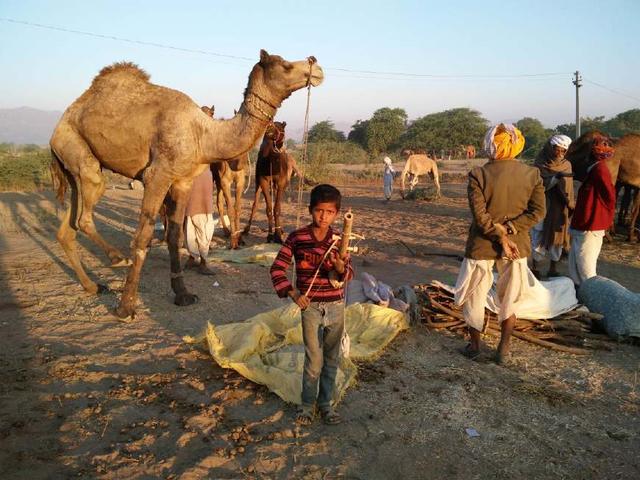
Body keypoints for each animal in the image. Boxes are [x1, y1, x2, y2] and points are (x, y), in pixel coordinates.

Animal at [48, 51, 324, 318]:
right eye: (286, 65)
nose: (316, 66)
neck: (204, 134)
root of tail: (57, 128)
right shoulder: (157, 175)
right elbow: (142, 238)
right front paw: (126, 308)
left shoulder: (182, 181)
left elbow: (174, 235)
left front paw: (182, 294)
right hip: (76, 149)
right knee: (84, 216)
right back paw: (117, 258)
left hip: (74, 168)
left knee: (69, 226)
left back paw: (93, 286)